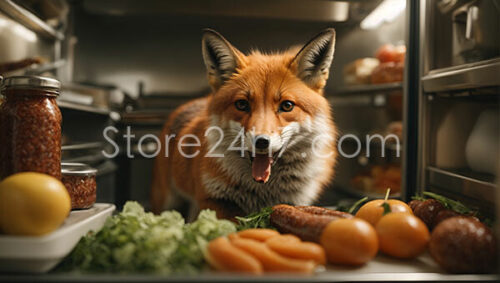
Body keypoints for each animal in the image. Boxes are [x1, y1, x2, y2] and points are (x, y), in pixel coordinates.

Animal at [150, 28, 338, 220]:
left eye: (287, 106)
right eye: (242, 104)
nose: (261, 142)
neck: (263, 190)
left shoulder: (293, 202)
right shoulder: (214, 199)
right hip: (167, 201)